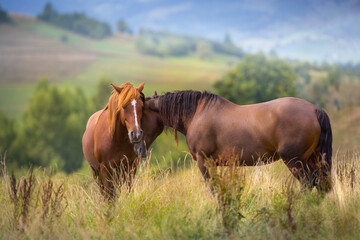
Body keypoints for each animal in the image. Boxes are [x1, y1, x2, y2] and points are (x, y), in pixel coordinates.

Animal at [142, 91, 334, 192]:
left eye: (140, 113)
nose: (137, 139)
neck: (197, 113)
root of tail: (315, 110)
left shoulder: (205, 162)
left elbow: (213, 188)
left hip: (295, 161)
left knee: (308, 184)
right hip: (313, 159)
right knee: (320, 185)